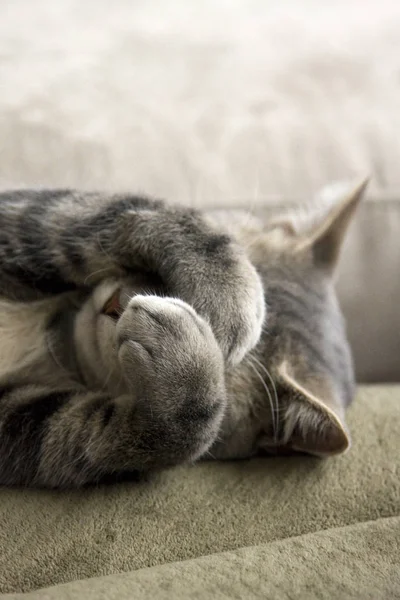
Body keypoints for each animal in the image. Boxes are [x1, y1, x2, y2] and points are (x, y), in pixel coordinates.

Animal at [0, 182, 366, 488]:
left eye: (222, 366)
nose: (118, 303)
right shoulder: (26, 212)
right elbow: (130, 210)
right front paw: (228, 290)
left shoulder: (25, 422)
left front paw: (185, 372)